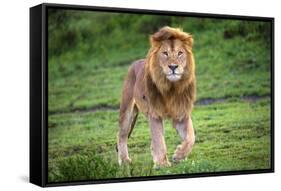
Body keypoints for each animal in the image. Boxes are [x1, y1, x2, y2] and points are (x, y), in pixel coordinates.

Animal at [116, 25, 195, 167]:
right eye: (165, 53)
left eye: (180, 53)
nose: (173, 66)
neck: (171, 88)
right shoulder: (155, 114)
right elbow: (159, 140)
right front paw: (162, 164)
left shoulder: (182, 113)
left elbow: (191, 137)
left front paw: (179, 155)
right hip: (127, 111)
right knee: (121, 135)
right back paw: (125, 160)